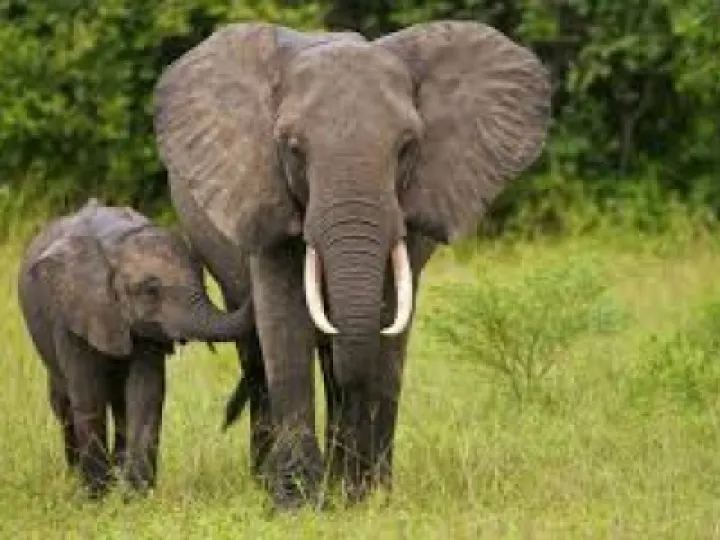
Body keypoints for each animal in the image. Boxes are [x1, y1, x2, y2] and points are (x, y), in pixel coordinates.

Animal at [18, 199, 251, 496]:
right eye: (150, 291)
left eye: (203, 280)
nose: (226, 421)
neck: (116, 244)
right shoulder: (72, 313)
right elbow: (88, 395)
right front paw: (97, 496)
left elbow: (145, 392)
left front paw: (136, 495)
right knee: (63, 402)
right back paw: (74, 477)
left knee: (120, 405)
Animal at [153, 20, 551, 508]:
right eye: (293, 147)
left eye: (407, 146)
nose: (353, 485)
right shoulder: (262, 187)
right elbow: (283, 321)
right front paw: (297, 503)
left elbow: (389, 325)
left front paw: (366, 498)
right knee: (257, 352)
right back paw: (266, 479)